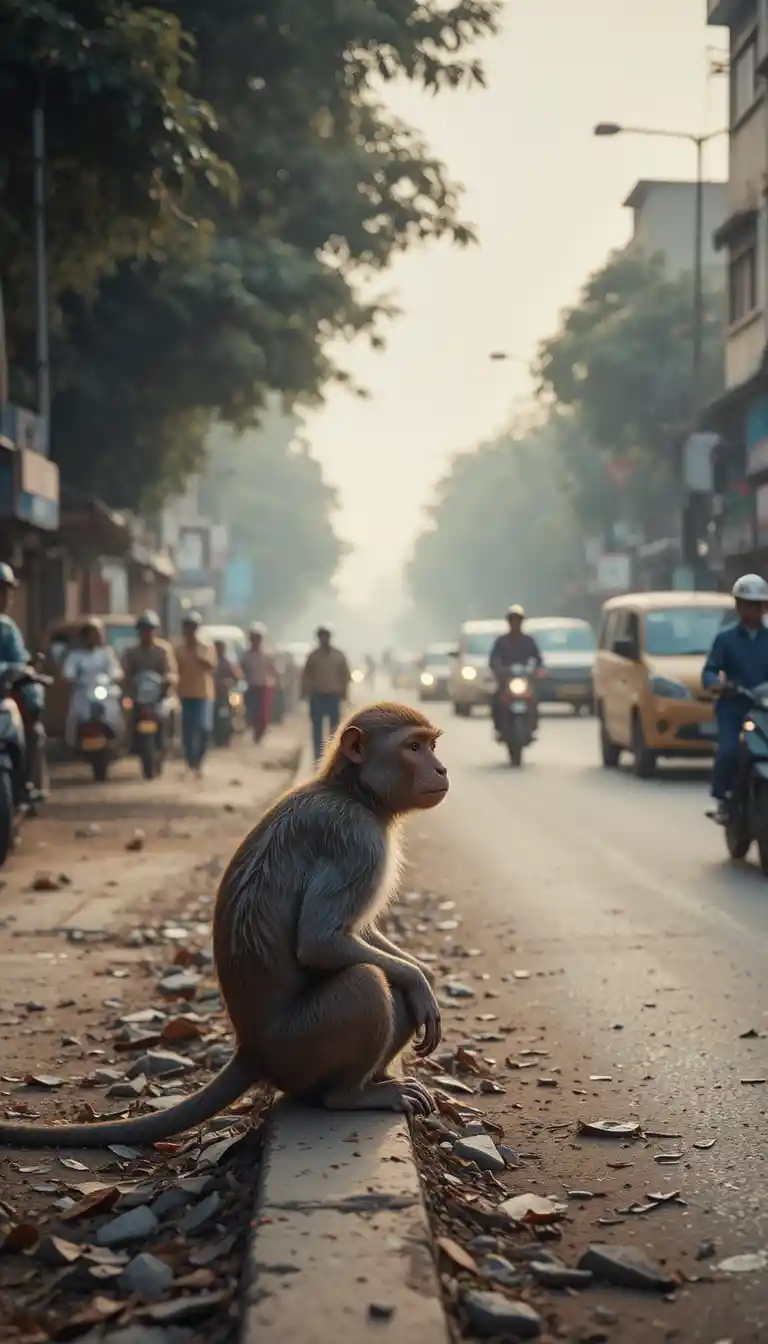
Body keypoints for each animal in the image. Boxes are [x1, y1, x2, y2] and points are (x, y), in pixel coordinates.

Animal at [0, 703, 449, 1147]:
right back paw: (351, 1094)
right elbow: (320, 941)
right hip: (300, 1045)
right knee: (366, 981)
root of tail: (251, 1048)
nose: (441, 768)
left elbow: (360, 936)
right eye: (413, 747)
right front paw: (417, 980)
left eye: (430, 745)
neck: (352, 791)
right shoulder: (356, 839)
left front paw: (419, 972)